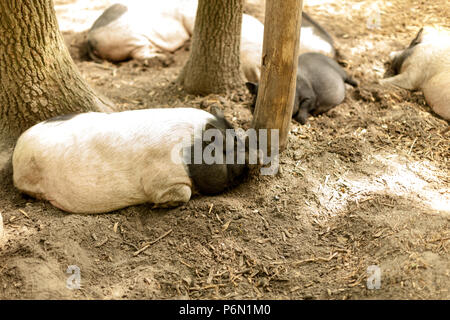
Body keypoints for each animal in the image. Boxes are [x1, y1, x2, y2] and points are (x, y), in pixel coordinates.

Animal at [13, 108, 246, 215]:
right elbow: (183, 193)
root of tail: (18, 148)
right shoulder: (161, 179)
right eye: (229, 148)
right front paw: (159, 206)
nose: (249, 163)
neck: (189, 148)